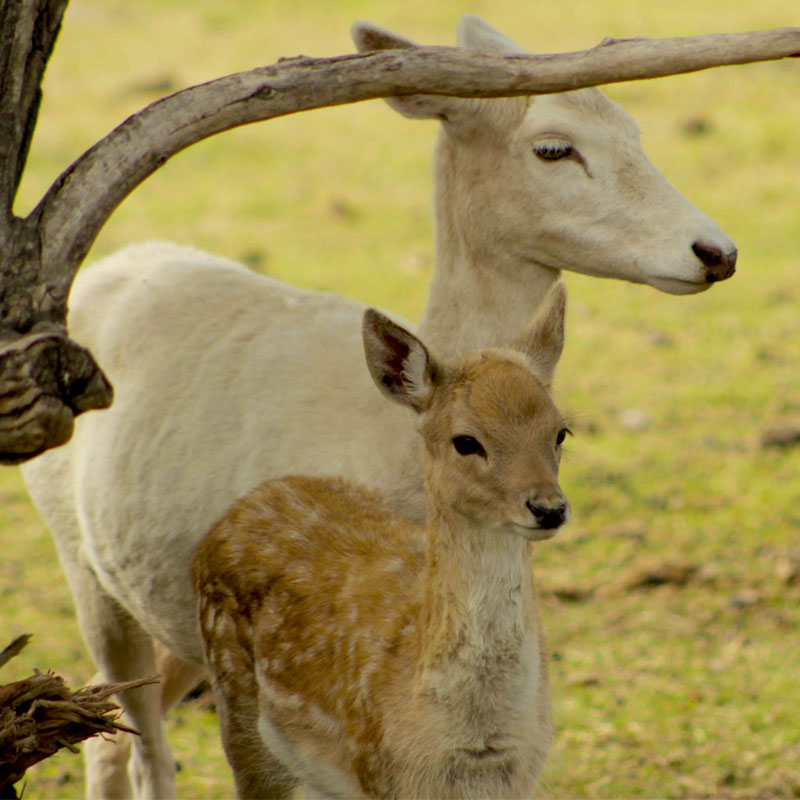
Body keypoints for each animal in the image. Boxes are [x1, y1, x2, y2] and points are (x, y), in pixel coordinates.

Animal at [192, 282, 568, 800]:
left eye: (561, 432)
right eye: (466, 441)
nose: (549, 507)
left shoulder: (523, 778)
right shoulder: (381, 772)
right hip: (237, 708)